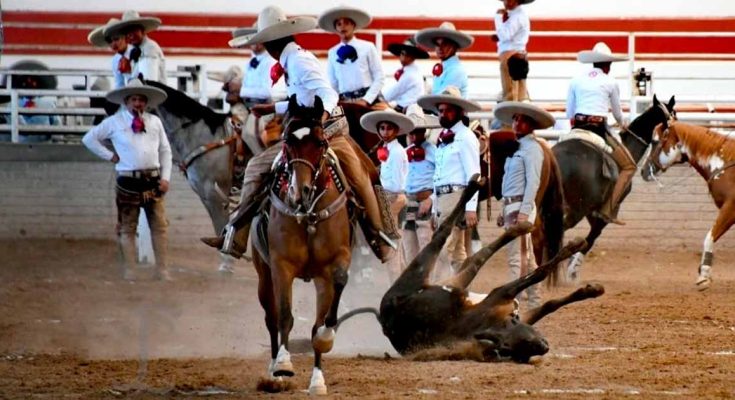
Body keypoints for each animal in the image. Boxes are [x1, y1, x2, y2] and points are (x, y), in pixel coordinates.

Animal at [250, 95, 354, 396]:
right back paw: (274, 374)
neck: (308, 214)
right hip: (264, 275)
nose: (301, 191)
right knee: (272, 319)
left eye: (320, 142)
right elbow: (285, 317)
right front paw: (284, 365)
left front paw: (324, 344)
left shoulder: (333, 266)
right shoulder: (281, 267)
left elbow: (323, 319)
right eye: (287, 141)